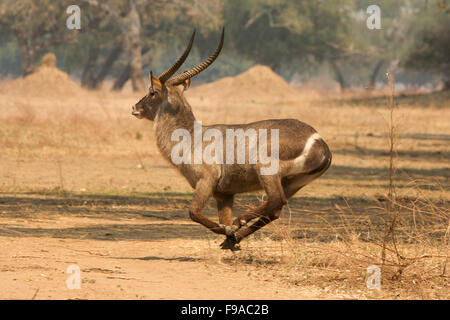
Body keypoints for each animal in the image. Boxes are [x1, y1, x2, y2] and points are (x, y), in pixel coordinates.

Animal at [132, 29, 332, 250]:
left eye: (152, 92)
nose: (135, 107)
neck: (191, 136)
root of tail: (320, 142)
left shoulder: (206, 181)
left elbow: (194, 212)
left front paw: (227, 231)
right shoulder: (224, 194)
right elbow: (222, 216)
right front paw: (230, 237)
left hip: (268, 171)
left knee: (276, 201)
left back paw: (239, 223)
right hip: (293, 183)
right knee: (275, 210)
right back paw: (234, 238)